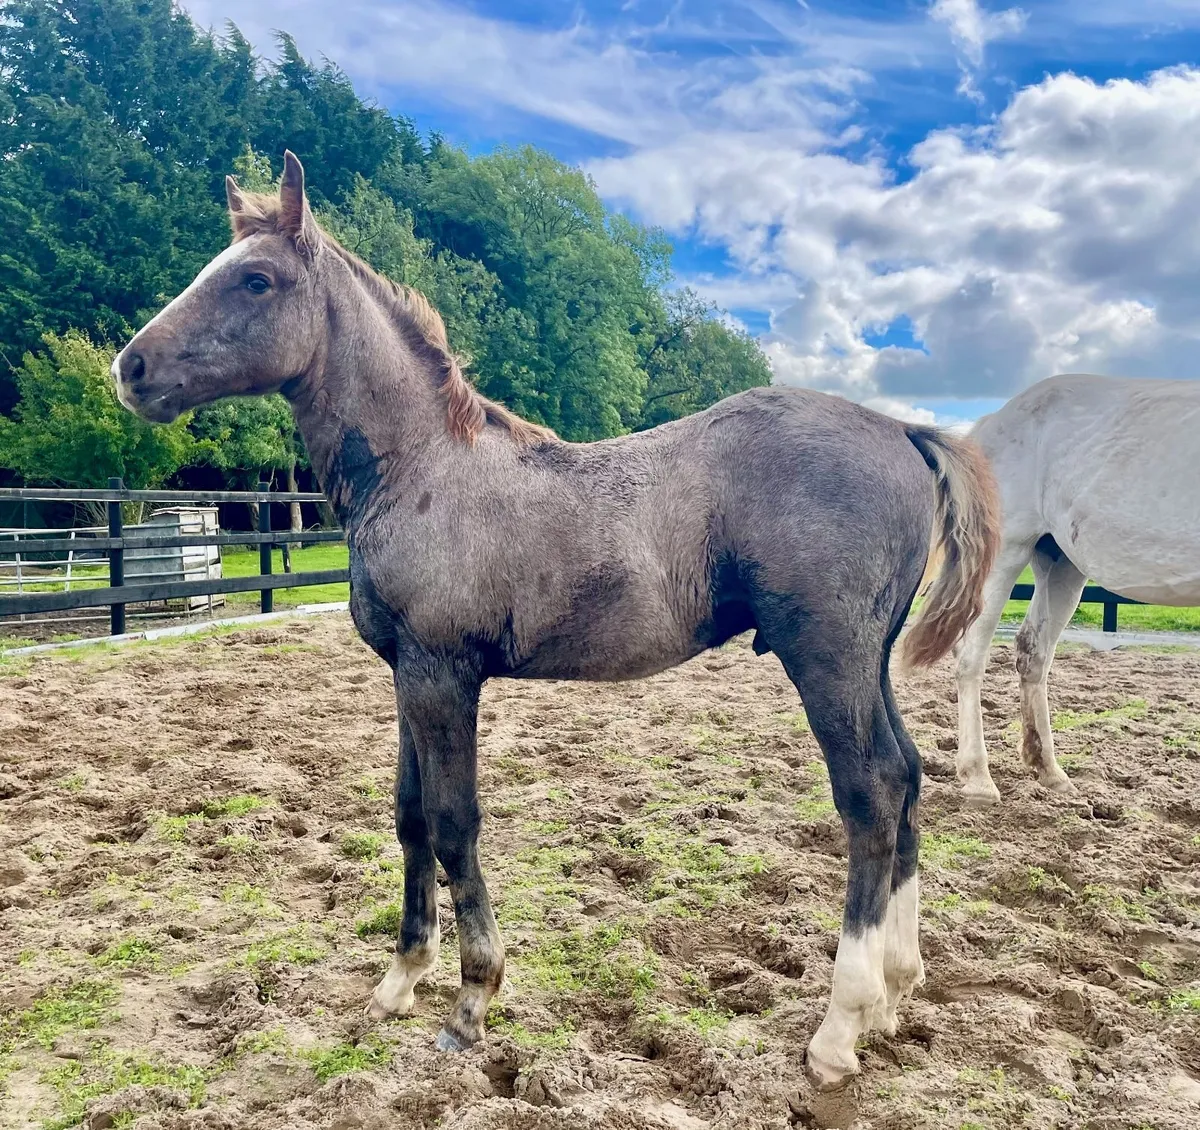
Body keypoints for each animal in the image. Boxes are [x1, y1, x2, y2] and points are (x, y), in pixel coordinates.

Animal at [112, 151, 999, 1091]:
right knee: (908, 777)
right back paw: (895, 991)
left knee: (870, 794)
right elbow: (410, 814)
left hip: (825, 657)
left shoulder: (443, 675)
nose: (131, 369)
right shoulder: (405, 674)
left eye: (255, 280)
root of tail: (899, 429)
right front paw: (399, 980)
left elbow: (454, 821)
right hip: (869, 660)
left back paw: (839, 1027)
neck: (423, 467)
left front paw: (471, 1003)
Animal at [946, 374, 1200, 804]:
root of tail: (993, 421)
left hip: (1061, 563)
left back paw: (1049, 771)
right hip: (1008, 551)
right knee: (971, 656)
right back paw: (978, 778)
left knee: (1032, 653)